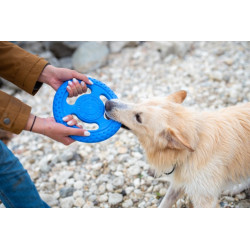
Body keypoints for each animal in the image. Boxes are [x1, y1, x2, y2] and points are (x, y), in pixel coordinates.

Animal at [105, 91, 250, 208]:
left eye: (138, 118)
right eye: (139, 102)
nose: (107, 103)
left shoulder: (204, 198)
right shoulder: (178, 184)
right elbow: (164, 204)